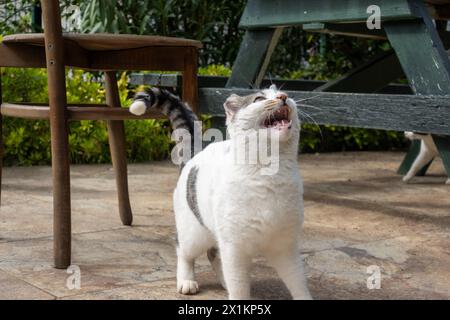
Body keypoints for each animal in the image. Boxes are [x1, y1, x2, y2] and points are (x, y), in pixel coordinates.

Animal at [130, 85, 312, 300]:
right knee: (183, 251)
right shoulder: (234, 248)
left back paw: (224, 282)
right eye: (259, 99)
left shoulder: (285, 248)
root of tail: (196, 153)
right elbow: (239, 287)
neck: (270, 175)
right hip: (194, 234)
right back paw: (186, 281)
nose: (283, 97)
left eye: (282, 94)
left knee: (213, 255)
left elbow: (298, 283)